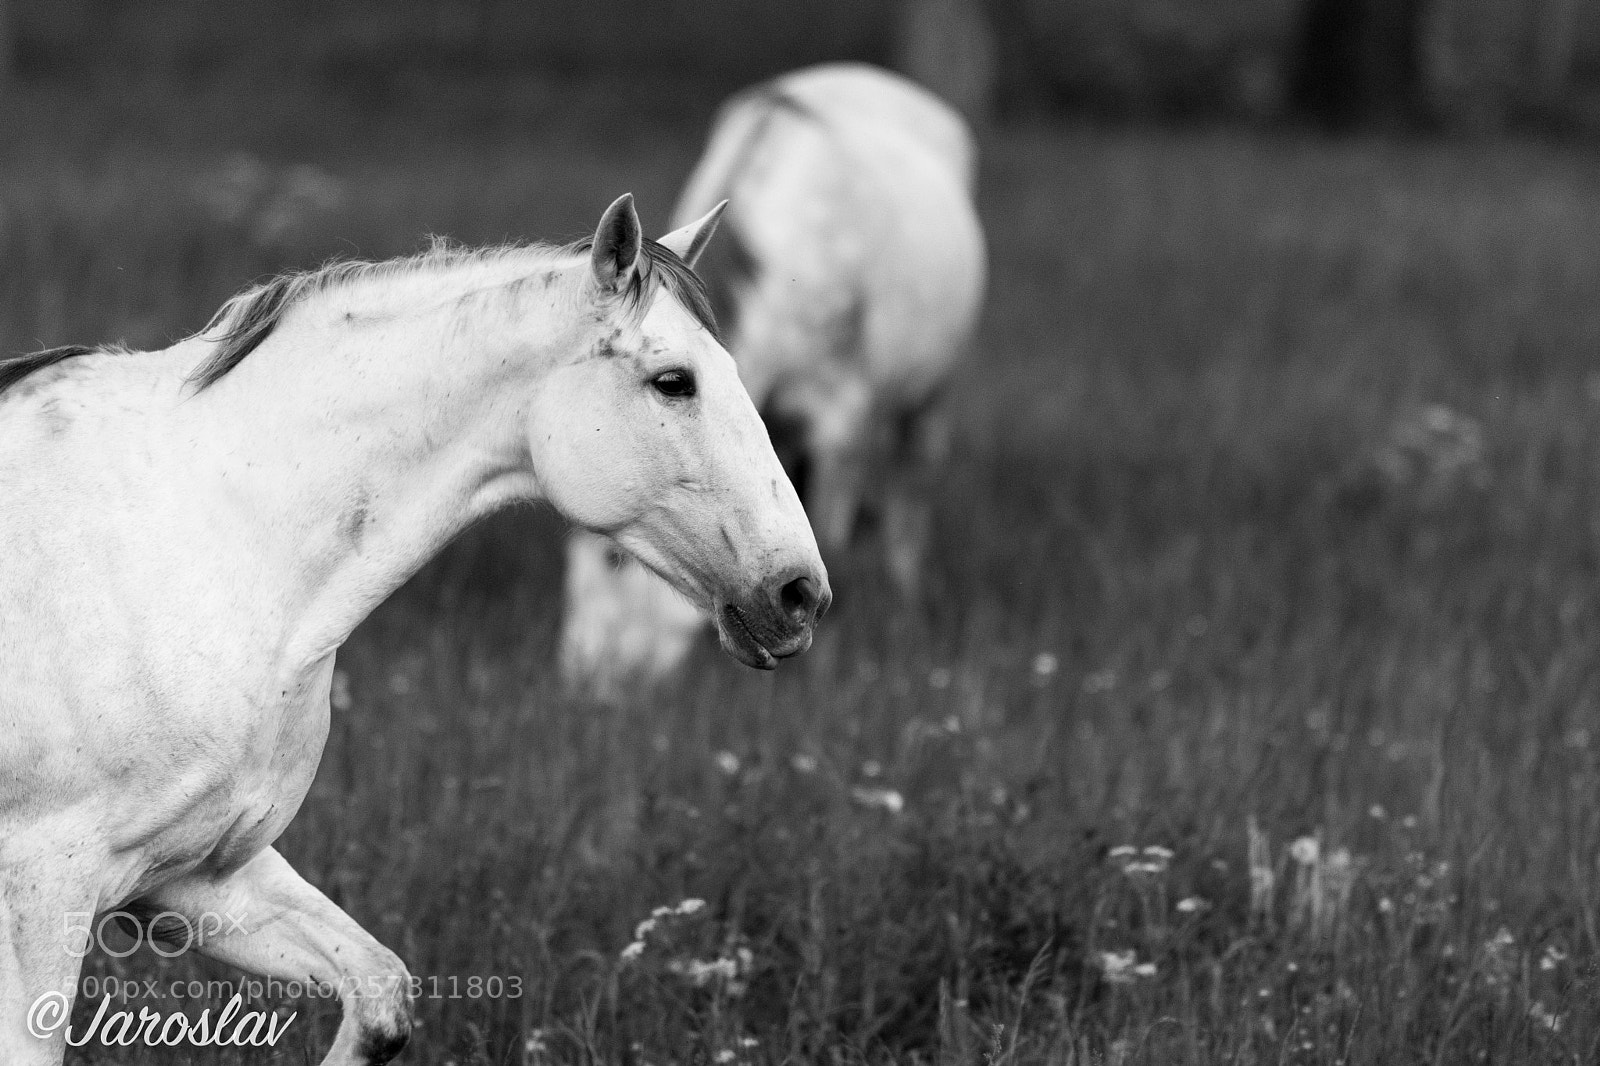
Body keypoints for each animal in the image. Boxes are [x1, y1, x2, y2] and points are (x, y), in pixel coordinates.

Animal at [0, 194, 829, 1066]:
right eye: (674, 382)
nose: (800, 593)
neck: (214, 540)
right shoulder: (45, 889)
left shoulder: (195, 874)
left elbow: (380, 998)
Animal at [561, 63, 986, 694]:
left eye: (618, 560)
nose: (588, 683)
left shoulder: (844, 415)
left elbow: (831, 537)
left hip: (936, 392)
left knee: (908, 506)